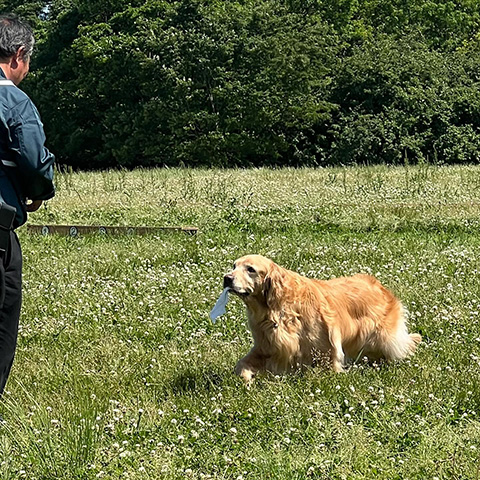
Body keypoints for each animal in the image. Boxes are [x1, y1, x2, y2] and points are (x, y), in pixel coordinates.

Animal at [223, 255, 422, 382]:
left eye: (250, 269)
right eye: (234, 266)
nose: (226, 278)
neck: (277, 308)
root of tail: (379, 285)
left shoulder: (326, 348)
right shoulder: (267, 347)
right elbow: (242, 365)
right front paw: (246, 381)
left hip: (384, 337)